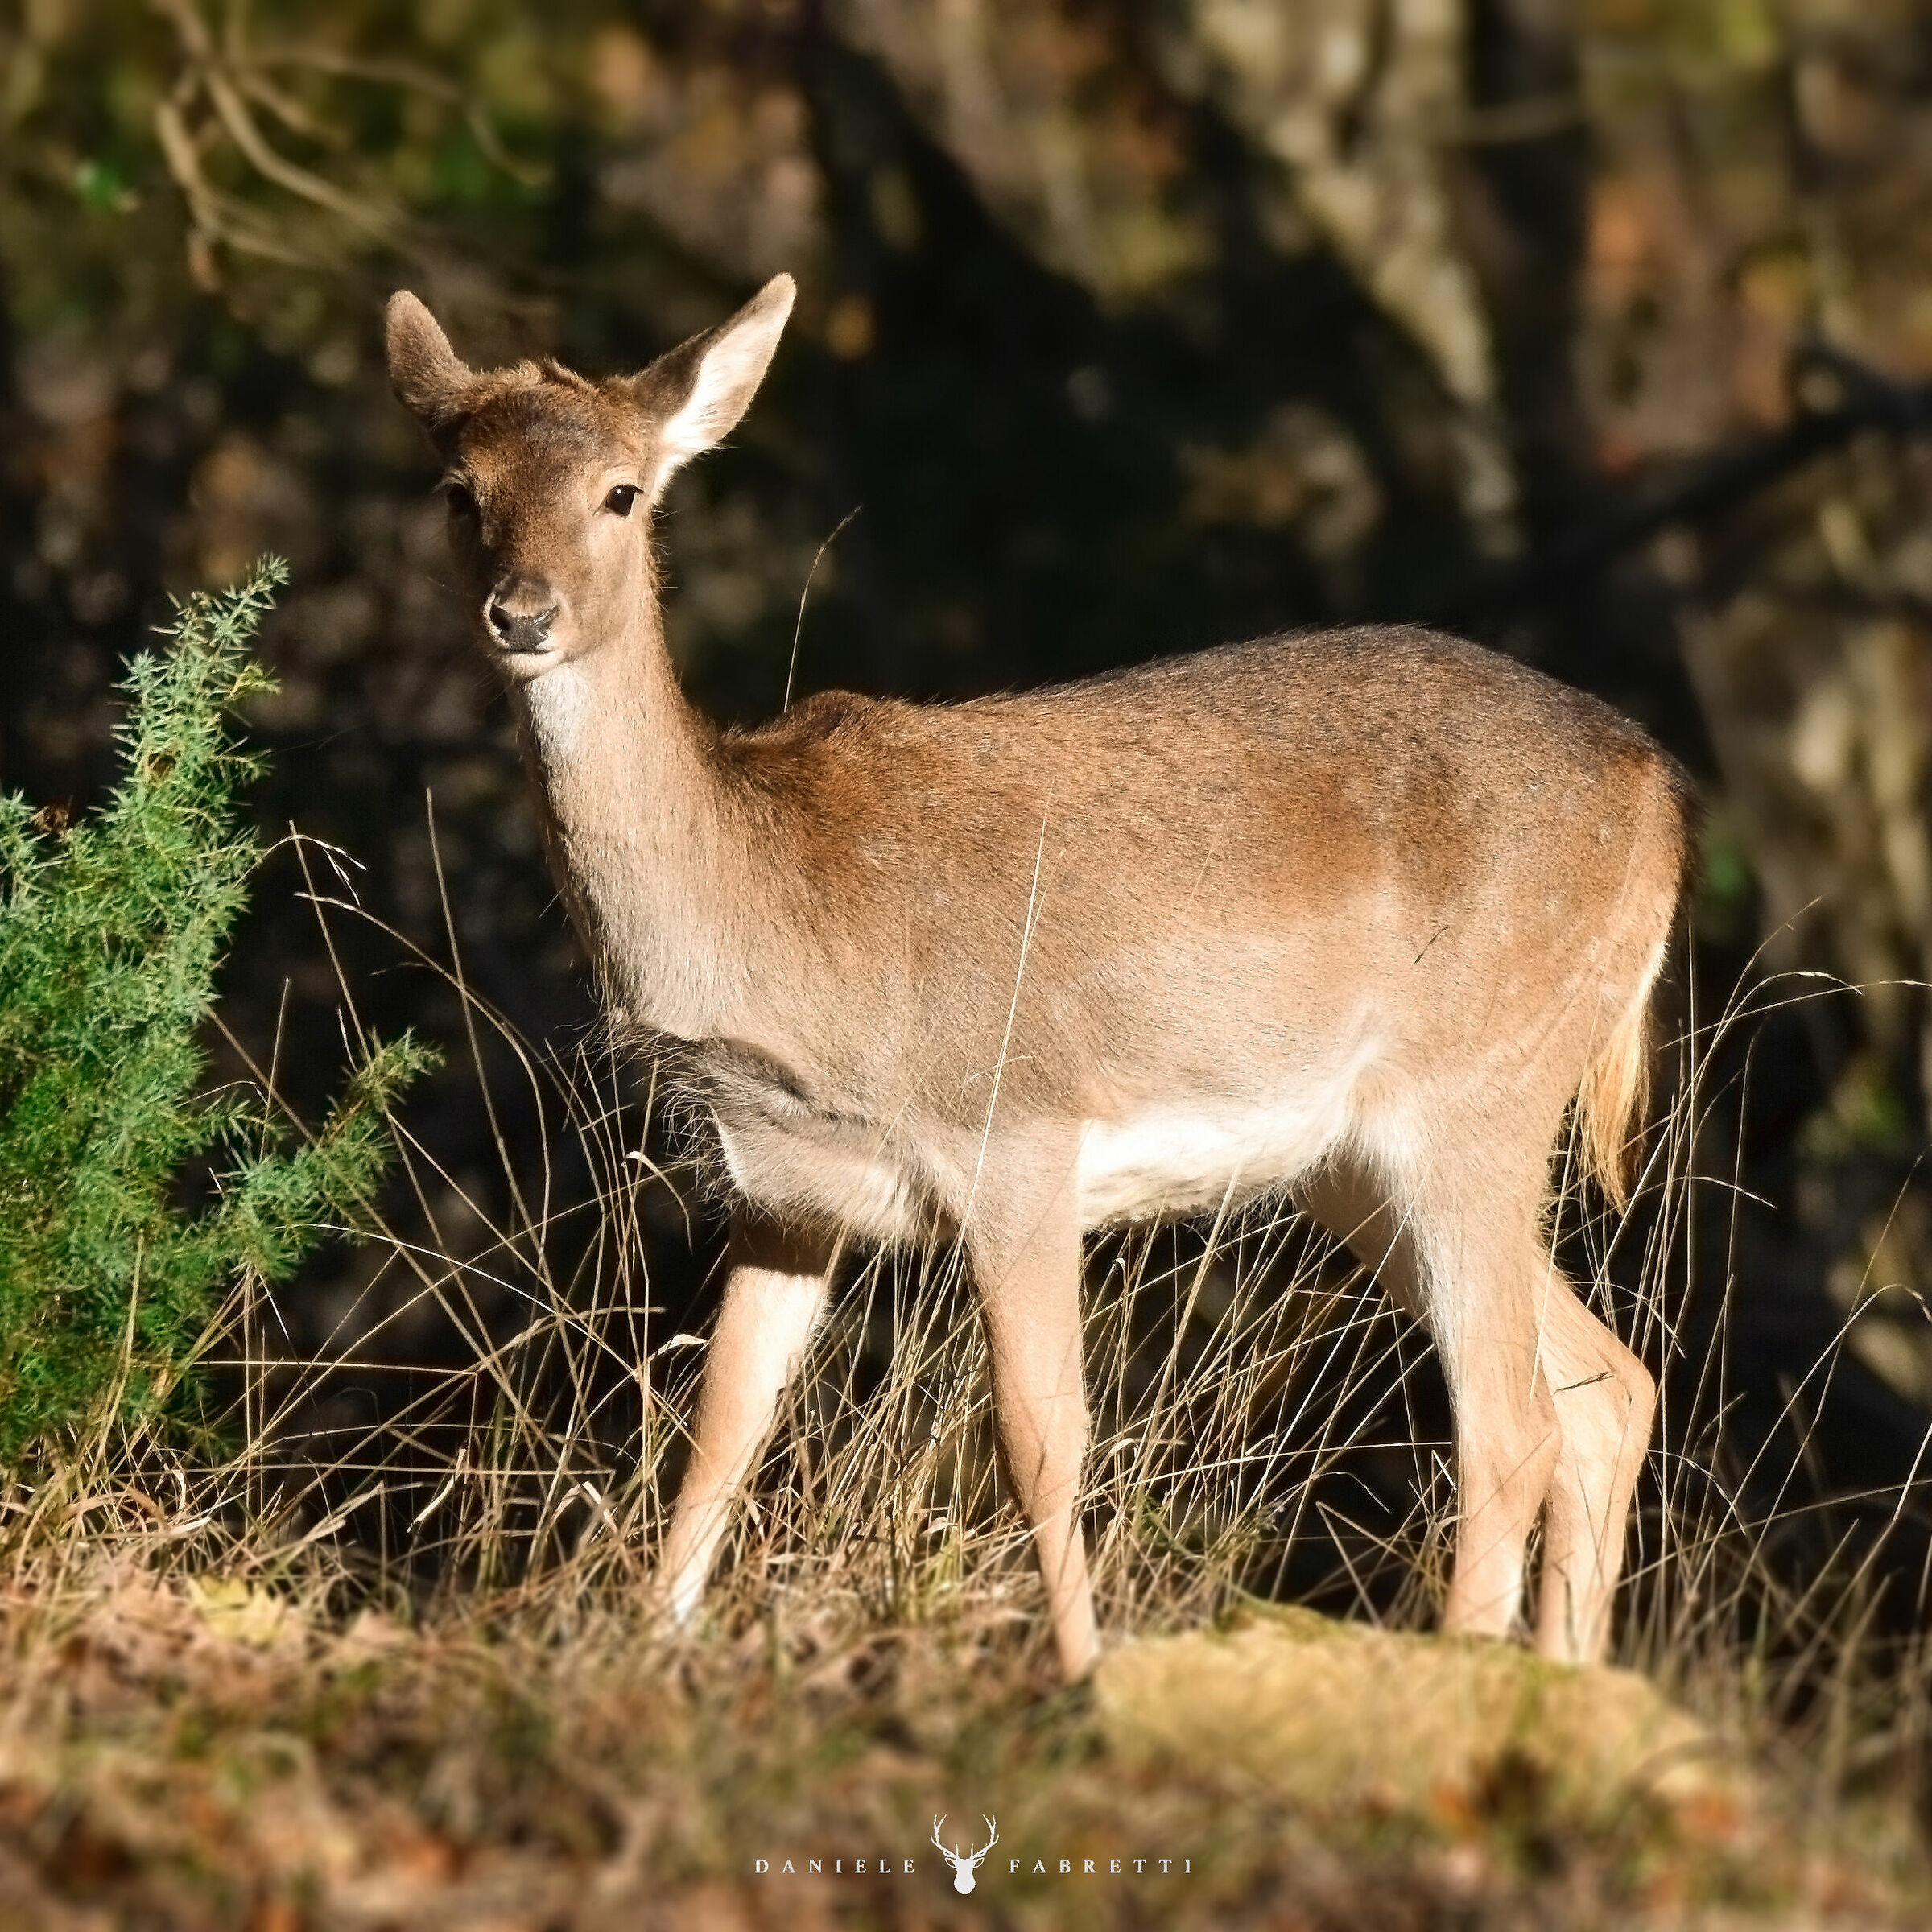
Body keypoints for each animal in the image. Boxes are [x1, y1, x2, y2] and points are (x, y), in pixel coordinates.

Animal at [385, 271, 1695, 1685]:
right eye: (457, 487)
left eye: (623, 492)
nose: (523, 612)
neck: (780, 922)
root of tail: (1660, 797)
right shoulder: (784, 1192)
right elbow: (719, 1438)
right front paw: (646, 1654)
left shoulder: (1014, 1128)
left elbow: (1038, 1442)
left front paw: (1081, 1681)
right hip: (1358, 1158)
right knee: (1609, 1387)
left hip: (1477, 1087)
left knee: (1513, 1427)